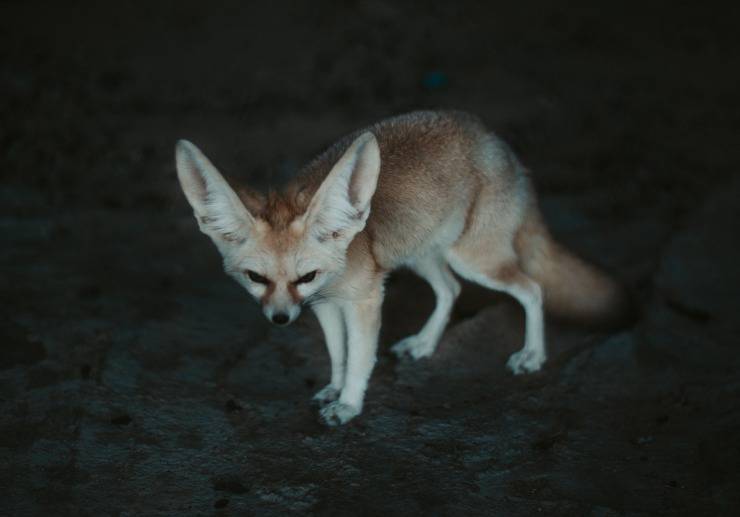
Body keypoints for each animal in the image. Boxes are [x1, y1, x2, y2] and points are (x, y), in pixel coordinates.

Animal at [175, 110, 630, 426]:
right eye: (256, 278)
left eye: (306, 276)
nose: (280, 319)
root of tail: (497, 143)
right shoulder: (325, 305)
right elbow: (337, 353)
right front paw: (334, 388)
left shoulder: (364, 299)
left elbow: (359, 357)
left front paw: (349, 403)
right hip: (425, 255)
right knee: (451, 290)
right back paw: (425, 343)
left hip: (473, 259)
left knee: (532, 289)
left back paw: (533, 354)